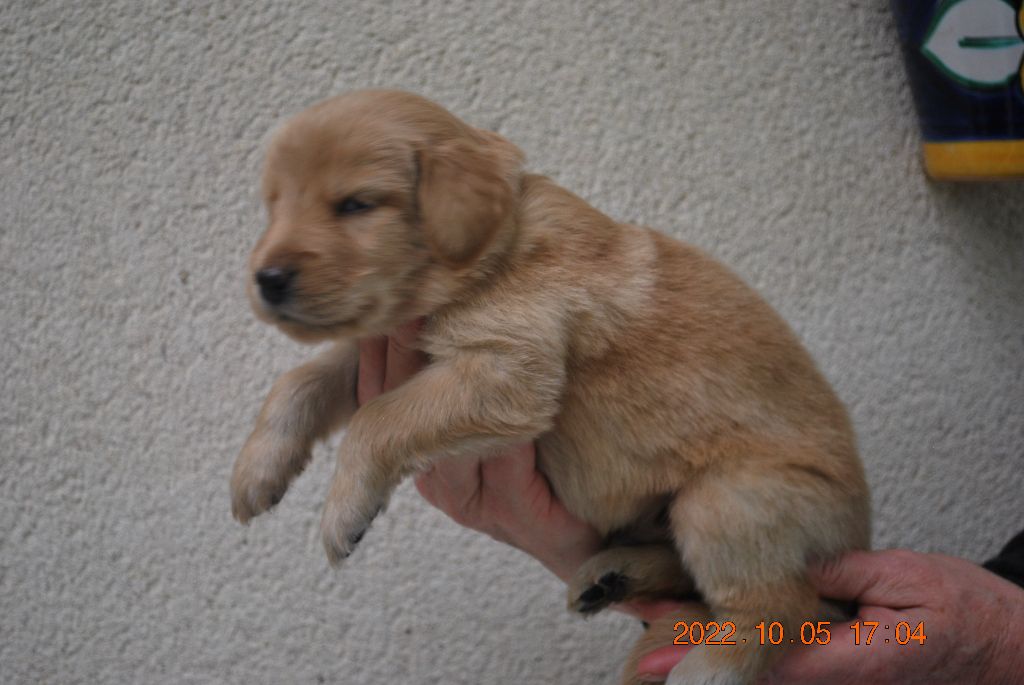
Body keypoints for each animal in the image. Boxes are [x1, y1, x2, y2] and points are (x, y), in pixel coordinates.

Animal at [230, 89, 870, 685]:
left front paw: (344, 510)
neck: (492, 253)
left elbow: (376, 419)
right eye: (273, 206)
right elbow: (299, 381)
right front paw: (258, 470)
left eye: (356, 204)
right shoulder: (386, 349)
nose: (267, 278)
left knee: (782, 605)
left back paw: (707, 667)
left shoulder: (509, 371)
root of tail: (858, 533)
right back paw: (614, 575)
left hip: (728, 499)